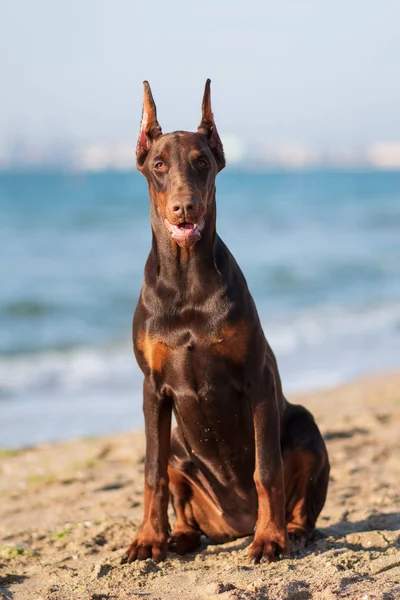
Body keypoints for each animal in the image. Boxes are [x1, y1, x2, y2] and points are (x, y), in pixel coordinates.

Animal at [124, 78, 328, 564]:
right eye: (159, 165)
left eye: (203, 162)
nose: (185, 208)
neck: (186, 281)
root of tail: (235, 525)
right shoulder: (152, 388)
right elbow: (152, 472)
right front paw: (147, 538)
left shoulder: (257, 378)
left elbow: (266, 470)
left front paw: (270, 538)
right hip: (180, 450)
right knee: (179, 493)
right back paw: (178, 537)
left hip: (306, 429)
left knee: (301, 499)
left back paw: (290, 531)